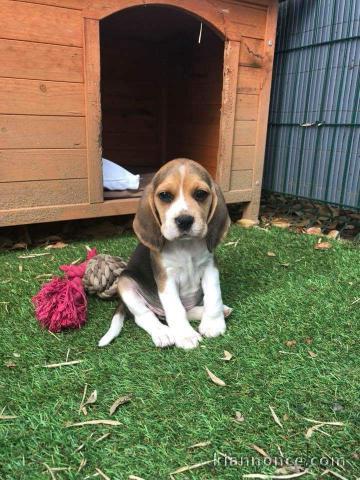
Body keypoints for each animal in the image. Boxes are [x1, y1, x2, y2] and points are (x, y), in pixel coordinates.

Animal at [98, 158, 232, 348]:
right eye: (165, 195)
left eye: (200, 194)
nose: (184, 220)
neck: (186, 246)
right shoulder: (166, 278)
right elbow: (175, 309)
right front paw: (186, 336)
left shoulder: (210, 268)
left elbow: (214, 296)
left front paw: (213, 324)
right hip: (125, 283)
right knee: (146, 316)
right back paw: (163, 333)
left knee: (182, 311)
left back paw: (219, 311)